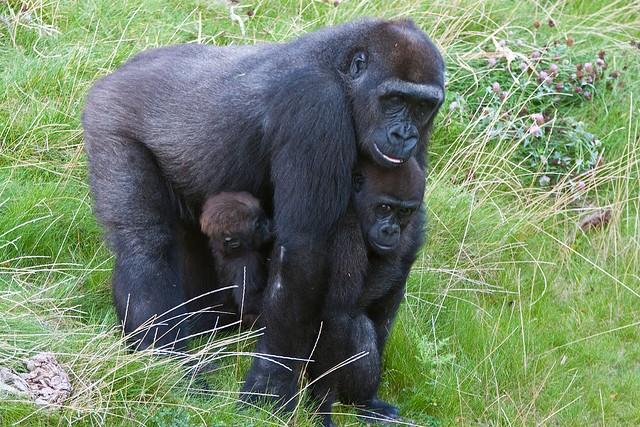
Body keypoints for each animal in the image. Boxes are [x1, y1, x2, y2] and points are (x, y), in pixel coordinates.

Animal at [308, 158, 424, 427]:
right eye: (384, 207)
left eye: (404, 212)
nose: (390, 230)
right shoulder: (344, 229)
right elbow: (337, 315)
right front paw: (322, 406)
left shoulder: (411, 232)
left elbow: (385, 310)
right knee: (357, 326)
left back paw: (365, 403)